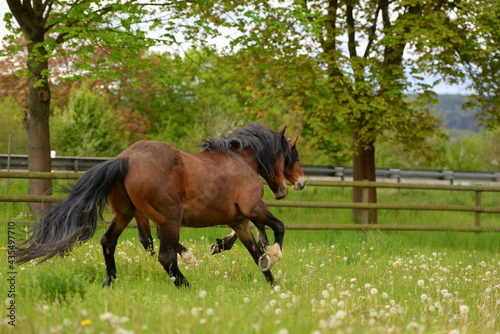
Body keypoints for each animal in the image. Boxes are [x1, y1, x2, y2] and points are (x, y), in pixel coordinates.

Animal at [17, 124, 306, 286]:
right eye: (292, 156)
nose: (298, 184)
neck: (241, 161)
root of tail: (125, 159)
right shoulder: (253, 209)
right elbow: (278, 228)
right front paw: (274, 256)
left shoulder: (240, 221)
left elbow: (255, 252)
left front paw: (272, 282)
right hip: (169, 220)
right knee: (165, 256)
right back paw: (187, 284)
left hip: (124, 214)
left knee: (108, 241)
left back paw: (110, 281)